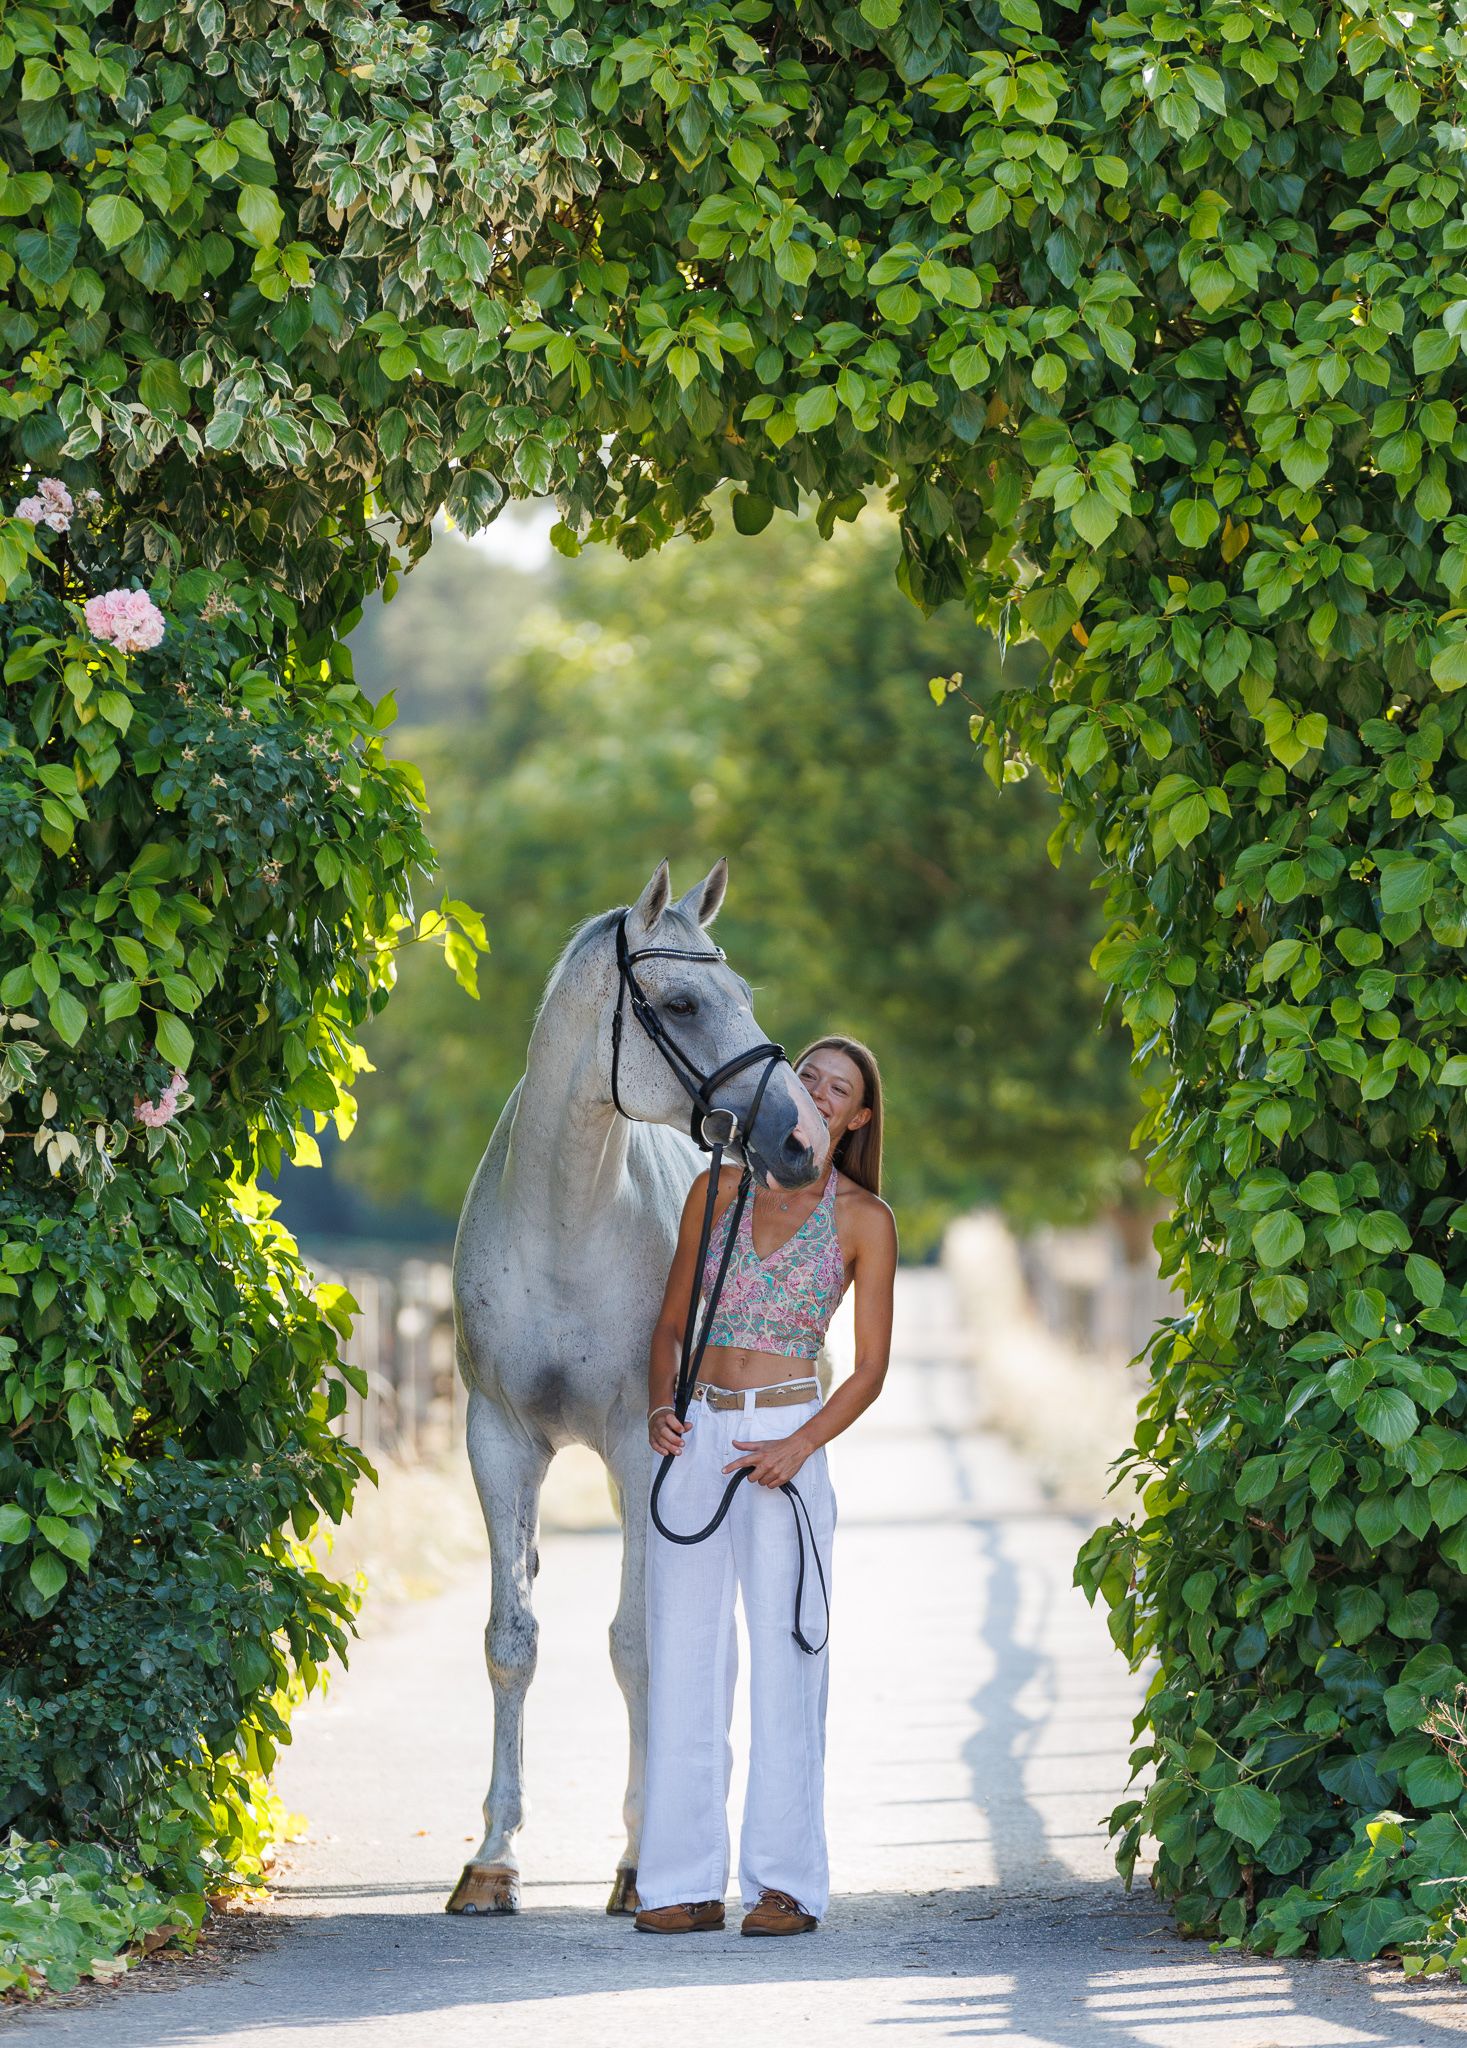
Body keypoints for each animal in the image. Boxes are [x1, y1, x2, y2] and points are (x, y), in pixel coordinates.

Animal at [445, 859, 825, 1915]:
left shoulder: (635, 1444)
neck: (563, 1229)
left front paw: (635, 1861)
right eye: (684, 1002)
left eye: (744, 995)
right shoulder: (497, 1443)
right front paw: (492, 1858)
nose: (800, 1140)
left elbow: (637, 1645)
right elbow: (511, 1641)